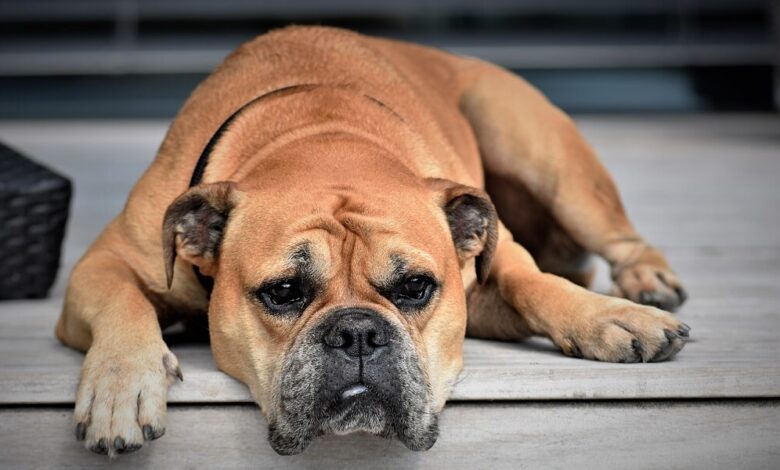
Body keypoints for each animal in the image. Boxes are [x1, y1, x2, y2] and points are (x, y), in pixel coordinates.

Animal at [54, 25, 688, 456]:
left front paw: (609, 317)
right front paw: (120, 387)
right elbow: (122, 300)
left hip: (541, 151)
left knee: (616, 237)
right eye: (283, 292)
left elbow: (534, 282)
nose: (357, 332)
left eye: (416, 287)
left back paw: (645, 283)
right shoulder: (104, 262)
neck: (320, 135)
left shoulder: (494, 263)